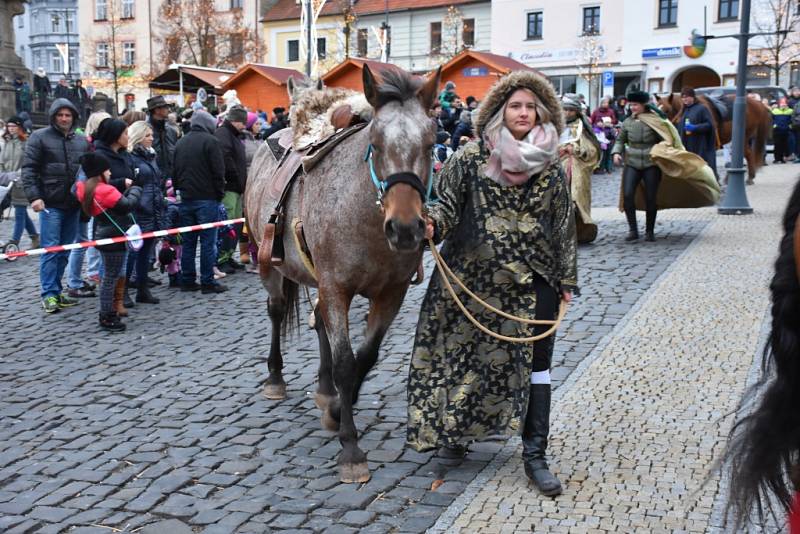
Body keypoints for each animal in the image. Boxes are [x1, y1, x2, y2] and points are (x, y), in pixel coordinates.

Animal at [247, 67, 440, 486]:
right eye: (376, 143)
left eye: (432, 142)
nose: (405, 229)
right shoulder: (337, 288)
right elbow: (346, 364)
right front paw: (350, 448)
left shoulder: (391, 294)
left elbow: (366, 358)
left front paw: (337, 408)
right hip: (269, 265)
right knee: (276, 310)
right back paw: (275, 378)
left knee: (319, 321)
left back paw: (324, 389)